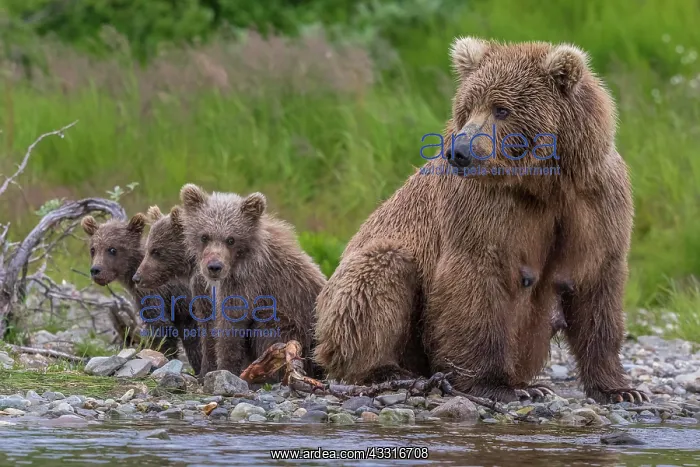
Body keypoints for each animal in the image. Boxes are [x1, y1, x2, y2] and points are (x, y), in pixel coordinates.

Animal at [179, 184, 327, 380]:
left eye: (231, 239)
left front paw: (225, 369)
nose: (214, 266)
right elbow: (208, 327)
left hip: (295, 326)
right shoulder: (203, 287)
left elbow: (231, 325)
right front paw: (205, 371)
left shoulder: (248, 282)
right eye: (204, 236)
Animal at [313, 37, 649, 404]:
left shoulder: (596, 203)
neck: (544, 184)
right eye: (468, 106)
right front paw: (499, 385)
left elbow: (597, 288)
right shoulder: (484, 208)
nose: (460, 152)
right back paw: (385, 370)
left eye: (501, 109)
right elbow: (477, 282)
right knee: (378, 278)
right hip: (356, 282)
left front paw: (621, 389)